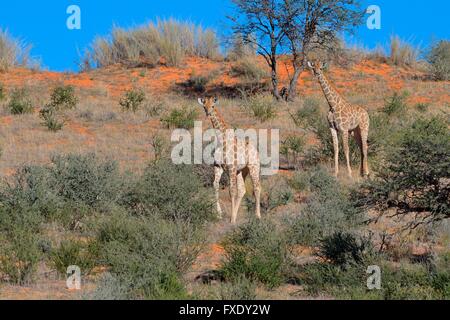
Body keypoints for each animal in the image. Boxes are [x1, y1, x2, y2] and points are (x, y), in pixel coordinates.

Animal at [198, 96, 262, 224]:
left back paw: (257, 215)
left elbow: (231, 190)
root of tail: (256, 150)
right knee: (242, 189)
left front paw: (231, 218)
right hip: (241, 171)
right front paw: (219, 214)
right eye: (204, 106)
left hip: (253, 167)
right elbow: (215, 185)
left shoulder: (231, 167)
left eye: (213, 106)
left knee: (257, 187)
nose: (208, 113)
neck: (221, 140)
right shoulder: (218, 166)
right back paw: (236, 216)